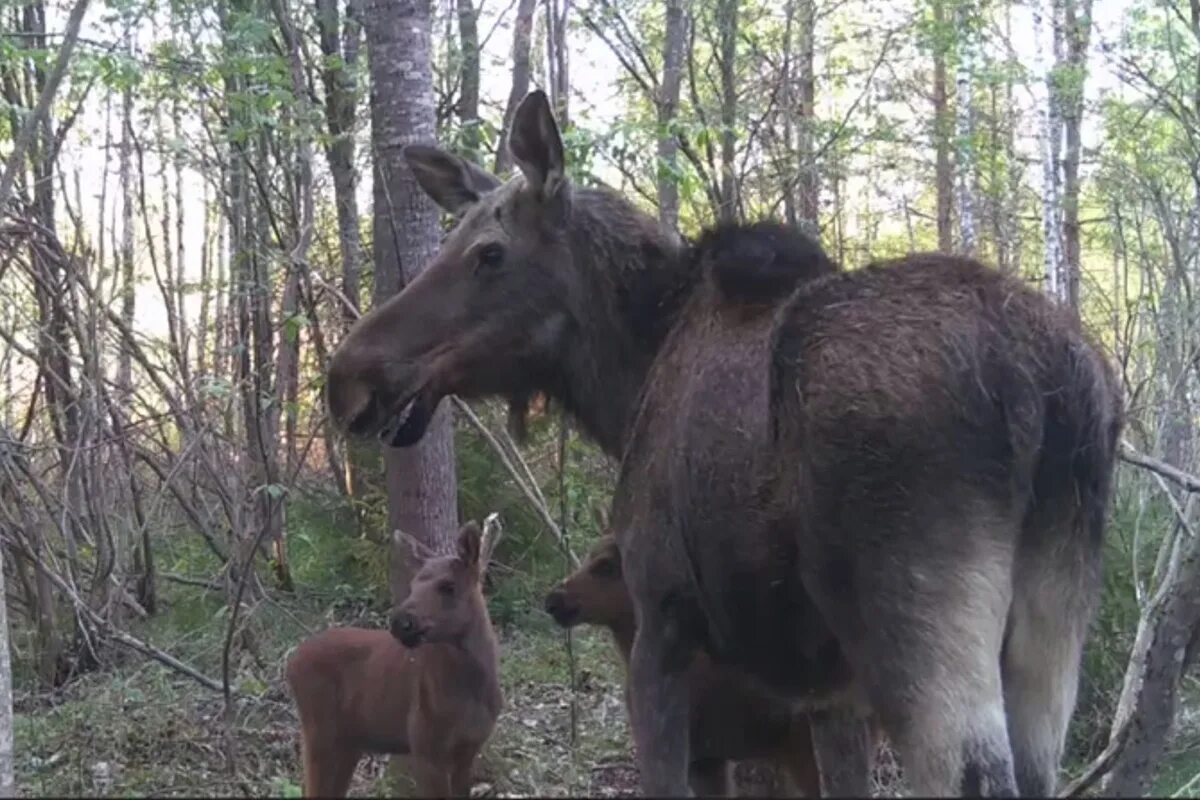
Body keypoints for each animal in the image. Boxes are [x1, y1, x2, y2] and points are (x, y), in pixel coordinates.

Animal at [285, 522, 501, 796]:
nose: (401, 622)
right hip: (319, 731)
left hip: (349, 741)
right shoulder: (425, 746)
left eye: (448, 586)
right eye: (413, 585)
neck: (472, 690)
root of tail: (291, 662)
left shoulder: (469, 748)